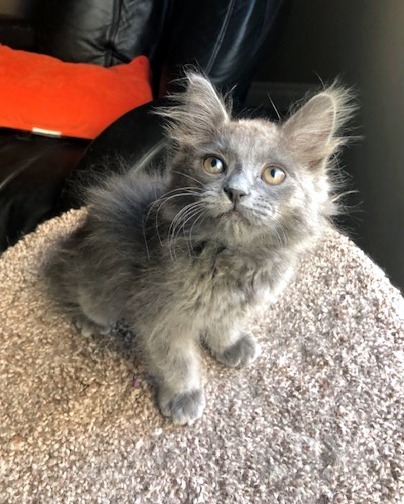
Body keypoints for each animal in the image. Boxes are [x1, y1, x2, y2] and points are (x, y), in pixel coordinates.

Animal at [45, 73, 354, 425]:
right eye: (214, 164)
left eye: (273, 174)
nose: (236, 191)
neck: (232, 258)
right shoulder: (161, 316)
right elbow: (178, 362)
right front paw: (184, 396)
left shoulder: (235, 308)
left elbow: (225, 327)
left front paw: (229, 346)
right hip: (98, 286)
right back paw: (90, 321)